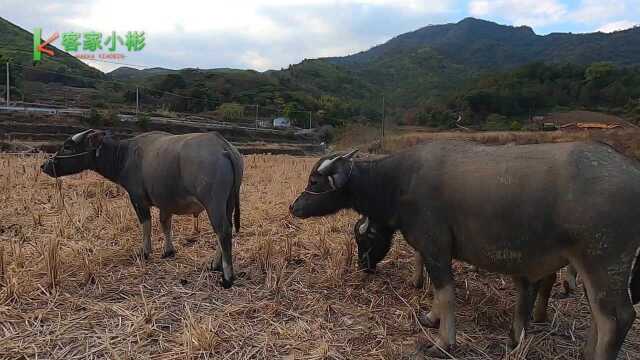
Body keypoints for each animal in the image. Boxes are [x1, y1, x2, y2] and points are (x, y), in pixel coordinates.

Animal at [41, 131, 244, 288]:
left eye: (68, 146)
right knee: (224, 231)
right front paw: (168, 251)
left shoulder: (138, 200)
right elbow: (165, 224)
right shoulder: (165, 202)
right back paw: (215, 264)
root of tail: (224, 147)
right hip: (228, 203)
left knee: (223, 231)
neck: (124, 156)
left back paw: (227, 277)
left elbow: (146, 224)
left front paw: (145, 252)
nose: (45, 165)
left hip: (213, 203)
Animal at [292, 142, 640, 358]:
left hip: (604, 262)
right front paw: (431, 317)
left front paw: (443, 341)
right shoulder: (432, 253)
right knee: (598, 315)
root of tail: (632, 171)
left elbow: (446, 293)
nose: (295, 207)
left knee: (618, 318)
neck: (399, 181)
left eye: (315, 181)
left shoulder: (435, 247)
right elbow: (436, 292)